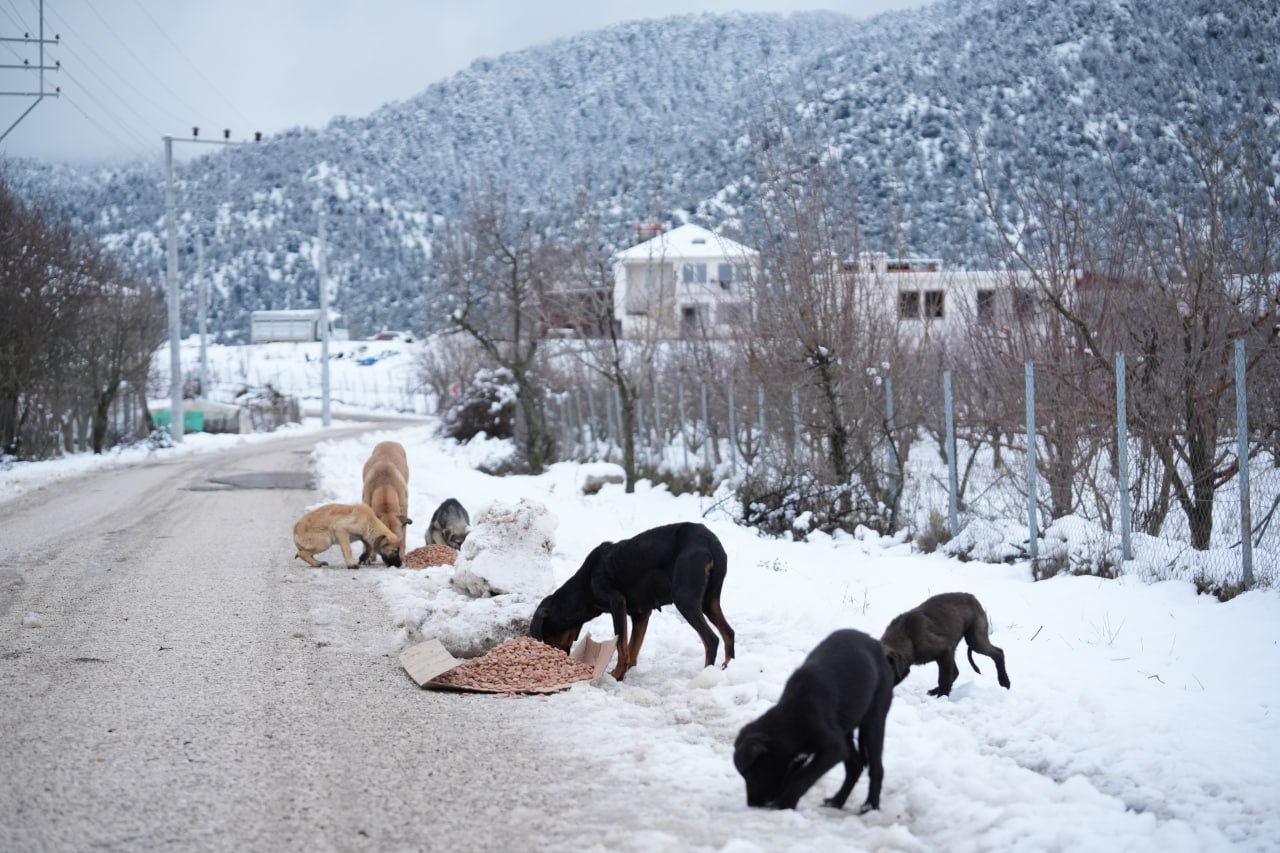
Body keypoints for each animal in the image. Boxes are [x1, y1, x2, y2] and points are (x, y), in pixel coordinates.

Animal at [524, 517, 737, 676]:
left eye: (544, 634)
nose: (558, 657)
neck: (585, 584)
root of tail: (710, 543)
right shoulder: (641, 613)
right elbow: (633, 648)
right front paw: (625, 675)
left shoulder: (618, 604)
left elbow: (621, 646)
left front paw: (615, 675)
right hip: (709, 601)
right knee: (729, 634)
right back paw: (726, 670)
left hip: (685, 599)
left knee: (712, 639)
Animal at [737, 625, 896, 809]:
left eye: (751, 775)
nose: (752, 804)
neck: (791, 717)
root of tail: (875, 643)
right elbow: (793, 774)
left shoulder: (833, 748)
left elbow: (803, 777)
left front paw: (785, 802)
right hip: (845, 729)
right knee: (855, 766)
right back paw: (837, 800)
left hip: (874, 719)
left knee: (876, 768)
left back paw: (870, 805)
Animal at [880, 589, 1008, 696]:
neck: (908, 637)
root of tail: (973, 598)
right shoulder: (947, 652)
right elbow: (948, 676)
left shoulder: (944, 649)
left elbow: (944, 679)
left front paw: (942, 697)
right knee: (956, 672)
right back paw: (933, 691)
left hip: (975, 639)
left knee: (998, 653)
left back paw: (1005, 683)